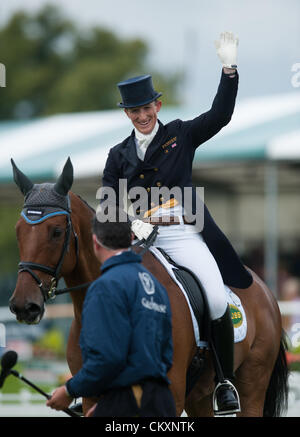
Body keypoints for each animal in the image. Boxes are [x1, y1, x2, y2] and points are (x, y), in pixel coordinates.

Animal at [9, 158, 290, 418]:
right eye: (18, 231)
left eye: (56, 231)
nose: (23, 305)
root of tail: (263, 288)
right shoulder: (93, 397)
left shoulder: (170, 396)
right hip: (198, 397)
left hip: (252, 383)